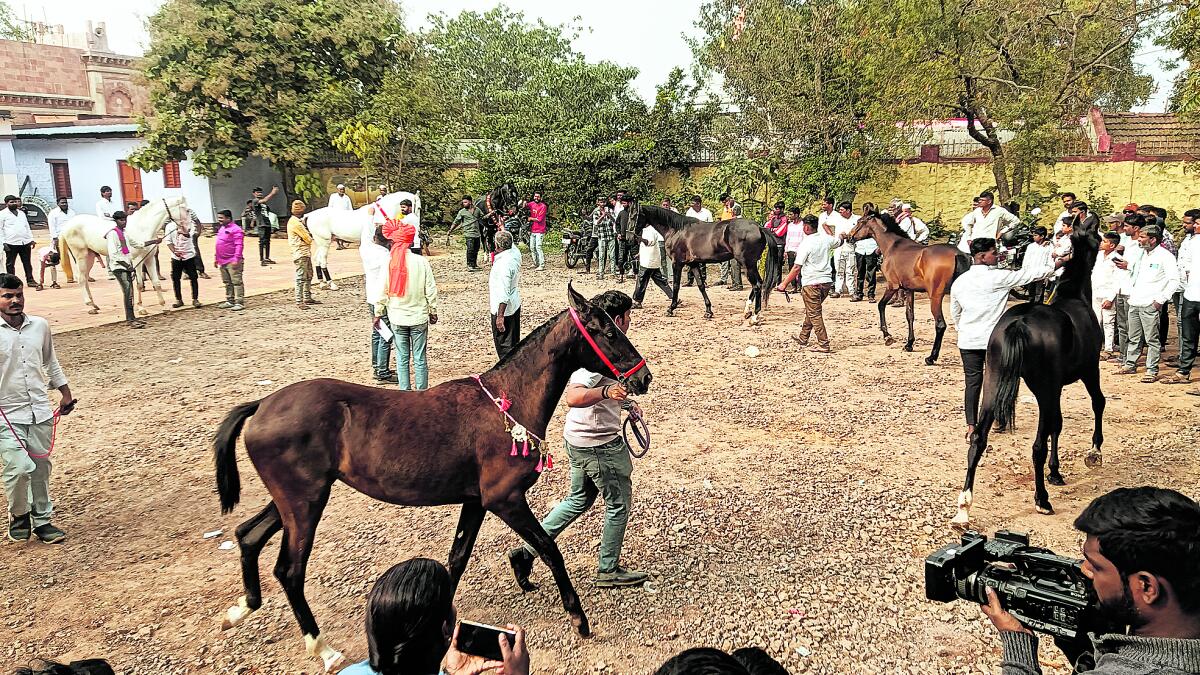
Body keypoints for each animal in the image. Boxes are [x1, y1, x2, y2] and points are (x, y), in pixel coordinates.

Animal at [58, 197, 190, 317]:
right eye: (186, 210)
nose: (188, 230)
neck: (142, 227)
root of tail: (67, 226)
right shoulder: (137, 260)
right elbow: (139, 284)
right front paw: (141, 308)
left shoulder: (149, 259)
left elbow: (156, 283)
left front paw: (164, 306)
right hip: (81, 256)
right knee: (80, 278)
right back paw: (89, 305)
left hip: (90, 256)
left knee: (85, 278)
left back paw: (94, 305)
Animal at [212, 284, 652, 671]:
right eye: (609, 330)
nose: (643, 377)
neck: (507, 403)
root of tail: (262, 405)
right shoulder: (505, 499)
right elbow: (548, 549)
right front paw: (579, 619)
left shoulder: (475, 501)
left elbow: (456, 559)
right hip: (305, 503)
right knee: (289, 571)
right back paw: (322, 648)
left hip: (295, 498)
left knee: (248, 536)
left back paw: (240, 609)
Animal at [635, 204, 783, 324]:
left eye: (636, 215)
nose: (633, 233)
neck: (677, 230)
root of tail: (759, 228)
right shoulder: (693, 264)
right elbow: (701, 286)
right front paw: (708, 311)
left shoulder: (677, 263)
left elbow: (676, 286)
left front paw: (671, 309)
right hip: (751, 265)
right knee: (759, 283)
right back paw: (747, 311)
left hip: (746, 264)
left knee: (757, 285)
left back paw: (755, 317)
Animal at [847, 213, 971, 365]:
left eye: (859, 222)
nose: (849, 237)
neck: (892, 246)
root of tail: (957, 254)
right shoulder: (909, 290)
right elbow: (909, 315)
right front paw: (909, 344)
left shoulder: (892, 286)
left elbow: (881, 305)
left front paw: (887, 336)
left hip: (936, 297)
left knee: (940, 324)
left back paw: (931, 357)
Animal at [951, 219, 1104, 526]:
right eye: (1097, 235)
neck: (1075, 298)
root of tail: (1018, 323)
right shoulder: (1088, 370)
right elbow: (1096, 404)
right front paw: (1093, 453)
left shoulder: (1056, 387)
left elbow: (1057, 424)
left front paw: (1056, 472)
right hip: (1045, 388)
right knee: (1037, 445)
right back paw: (1042, 500)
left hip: (994, 382)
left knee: (978, 439)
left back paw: (963, 508)